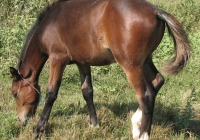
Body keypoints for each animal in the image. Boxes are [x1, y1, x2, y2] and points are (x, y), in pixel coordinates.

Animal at [9, 0, 191, 139]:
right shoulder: (82, 62)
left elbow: (51, 93)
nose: (22, 119)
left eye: (15, 94)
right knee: (157, 81)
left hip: (130, 66)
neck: (50, 24)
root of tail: (155, 11)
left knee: (146, 95)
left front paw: (38, 129)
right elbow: (87, 91)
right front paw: (94, 125)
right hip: (145, 61)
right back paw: (136, 123)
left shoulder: (57, 59)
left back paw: (142, 134)